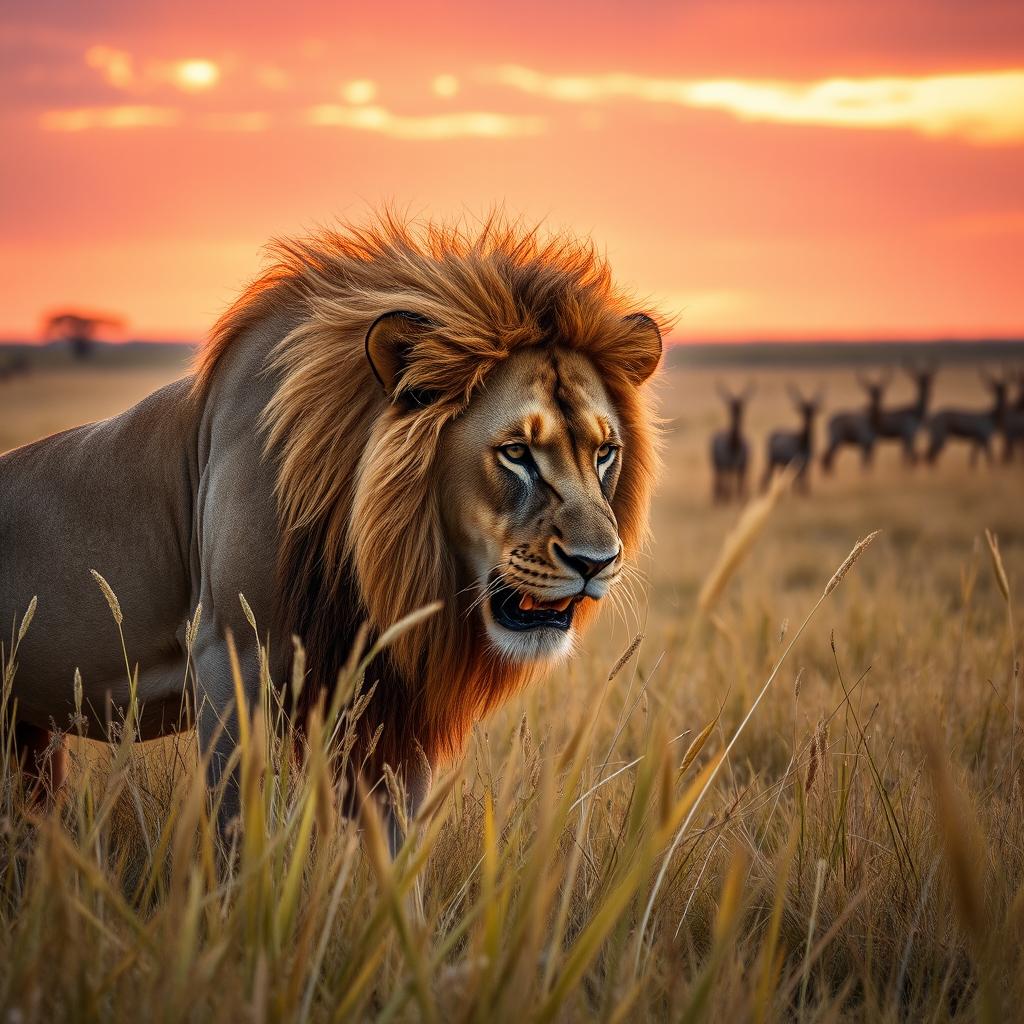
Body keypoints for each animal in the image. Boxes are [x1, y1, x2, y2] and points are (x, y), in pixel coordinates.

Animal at [1, 214, 663, 835]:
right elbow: (235, 826)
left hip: (30, 739)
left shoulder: (391, 696)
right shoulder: (226, 654)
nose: (597, 563)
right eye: (517, 452)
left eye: (605, 452)